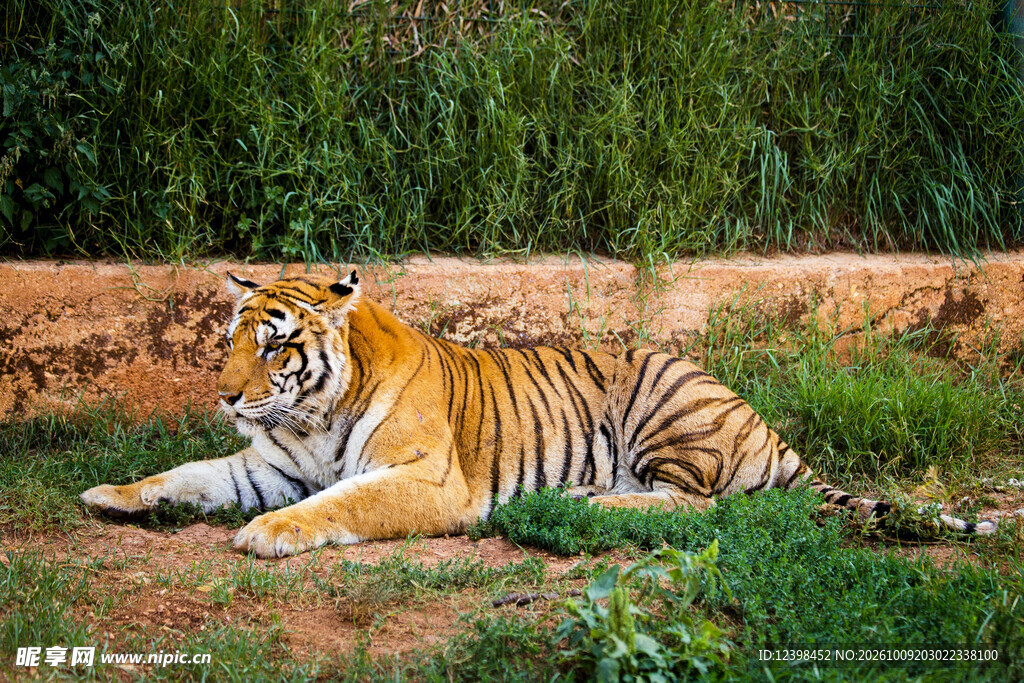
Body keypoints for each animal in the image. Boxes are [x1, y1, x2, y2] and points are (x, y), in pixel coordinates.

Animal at [80, 271, 998, 557]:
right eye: (231, 340)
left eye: (274, 348)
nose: (227, 395)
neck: (308, 419)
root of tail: (768, 429)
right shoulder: (263, 464)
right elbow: (188, 473)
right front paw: (111, 495)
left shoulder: (428, 480)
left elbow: (342, 502)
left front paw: (270, 533)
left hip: (664, 406)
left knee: (702, 505)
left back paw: (593, 501)